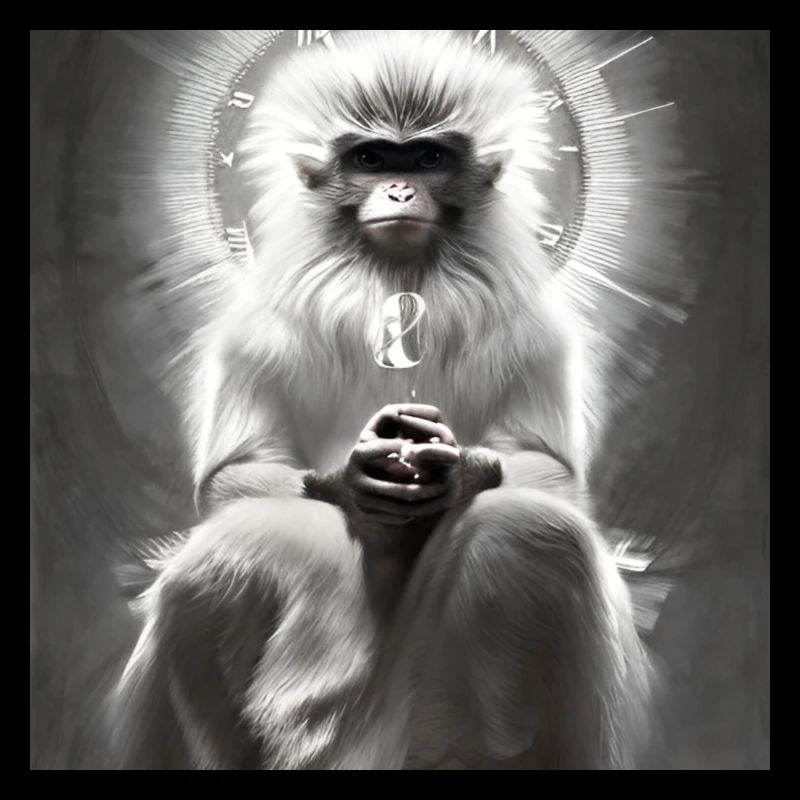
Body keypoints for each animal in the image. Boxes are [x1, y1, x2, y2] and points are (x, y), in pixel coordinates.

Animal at [112, 30, 652, 770]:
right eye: (369, 159)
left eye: (427, 158)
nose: (398, 188)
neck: (398, 286)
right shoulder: (252, 327)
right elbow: (232, 477)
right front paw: (351, 479)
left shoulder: (539, 327)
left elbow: (554, 474)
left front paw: (461, 472)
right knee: (220, 566)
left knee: (533, 534)